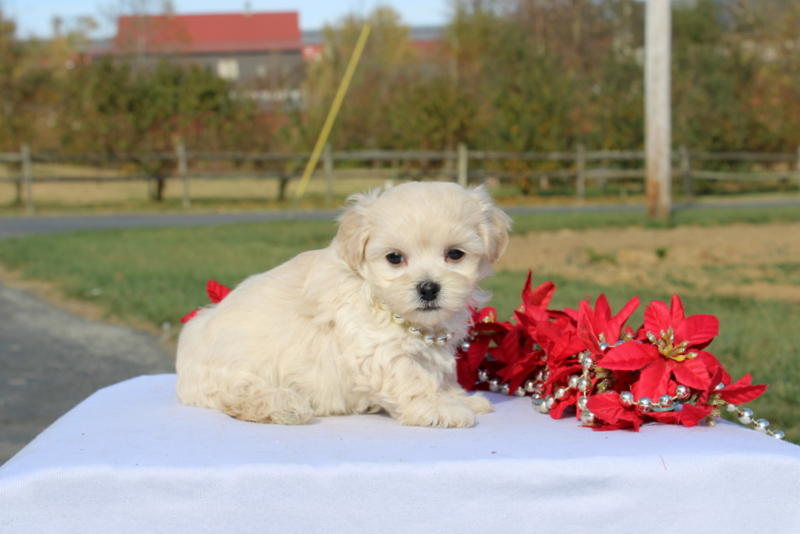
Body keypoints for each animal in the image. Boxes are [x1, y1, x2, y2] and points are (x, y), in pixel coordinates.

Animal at [177, 182, 512, 430]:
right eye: (394, 258)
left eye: (455, 254)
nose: (428, 288)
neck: (376, 293)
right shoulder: (375, 347)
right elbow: (412, 377)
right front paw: (440, 408)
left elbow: (441, 375)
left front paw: (460, 398)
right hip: (240, 367)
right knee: (237, 396)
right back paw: (282, 405)